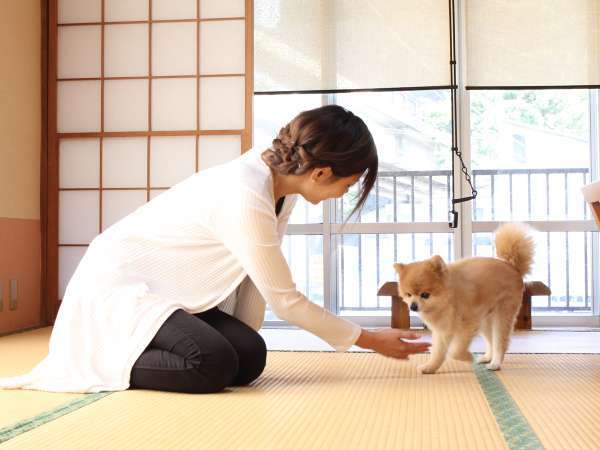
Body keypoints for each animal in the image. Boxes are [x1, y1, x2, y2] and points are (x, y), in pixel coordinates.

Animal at [394, 223, 536, 374]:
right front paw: (430, 367)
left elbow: (454, 351)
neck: (447, 300)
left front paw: (468, 357)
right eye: (408, 294)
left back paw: (495, 363)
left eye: (425, 295)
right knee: (491, 340)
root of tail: (512, 266)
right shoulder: (442, 331)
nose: (413, 306)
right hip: (485, 321)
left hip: (501, 316)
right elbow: (438, 352)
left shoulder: (467, 326)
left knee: (500, 342)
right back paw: (487, 357)